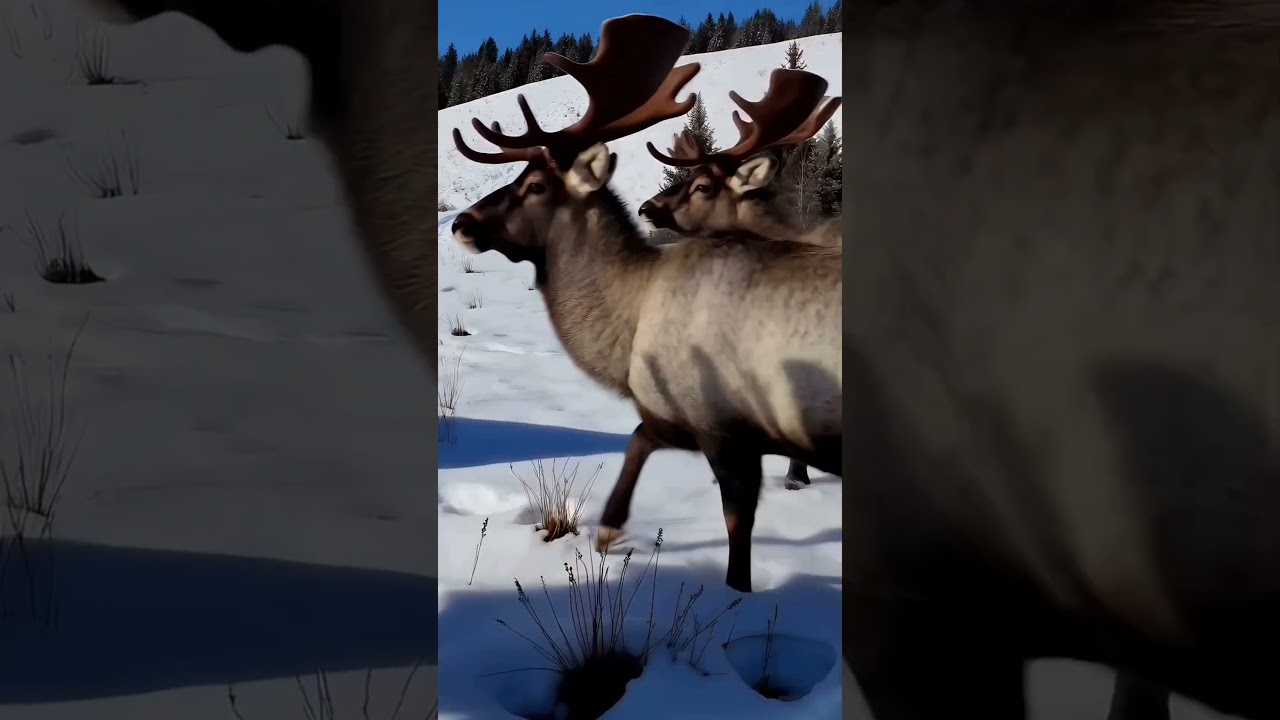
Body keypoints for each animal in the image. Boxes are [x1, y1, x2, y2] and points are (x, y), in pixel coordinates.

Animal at [448, 15, 843, 598]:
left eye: (535, 184)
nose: (460, 222)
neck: (628, 332)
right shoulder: (677, 413)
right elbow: (637, 440)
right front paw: (608, 529)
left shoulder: (724, 425)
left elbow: (738, 529)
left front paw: (737, 592)